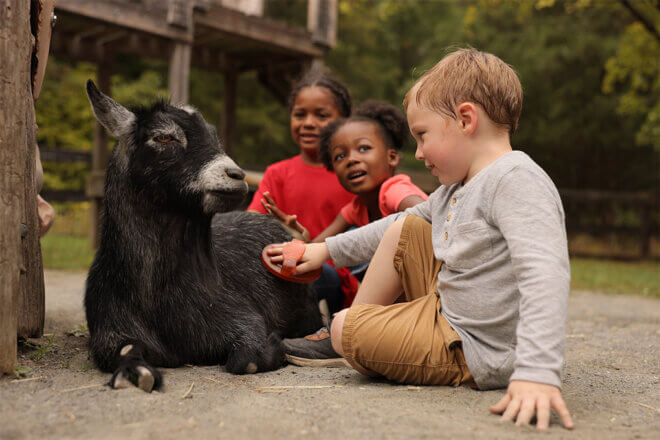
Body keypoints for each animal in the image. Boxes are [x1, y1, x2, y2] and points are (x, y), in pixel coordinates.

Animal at [84, 81, 320, 392]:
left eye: (213, 135)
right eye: (163, 137)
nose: (235, 175)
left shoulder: (244, 320)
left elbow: (247, 359)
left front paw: (278, 346)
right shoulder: (107, 333)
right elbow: (119, 353)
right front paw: (137, 371)